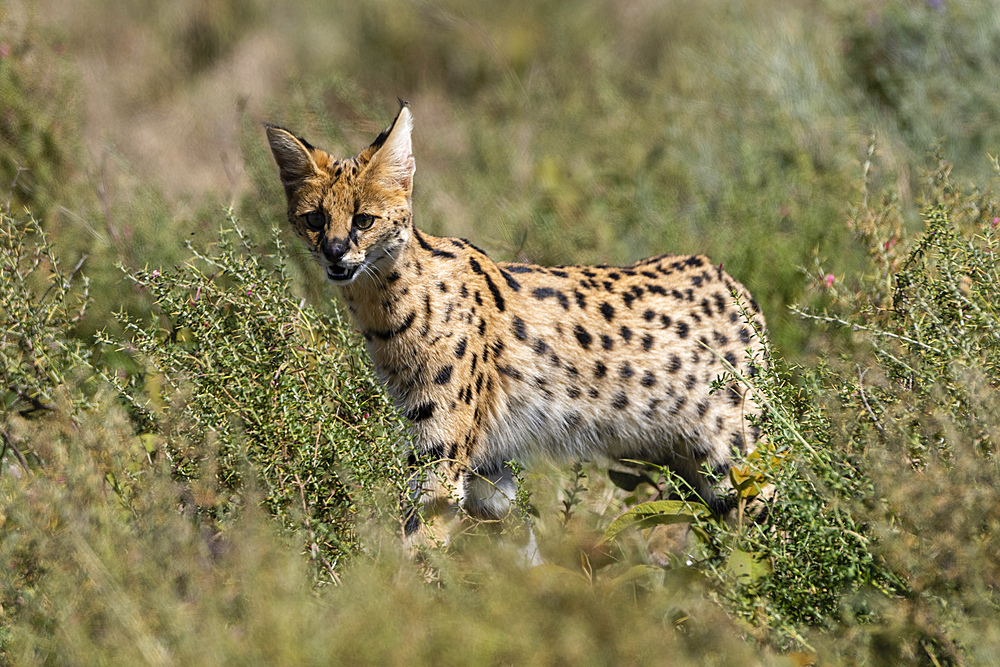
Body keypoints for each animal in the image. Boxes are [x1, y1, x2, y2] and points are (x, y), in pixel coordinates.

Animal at [266, 100, 764, 560]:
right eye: (315, 219)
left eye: (363, 220)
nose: (334, 253)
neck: (388, 306)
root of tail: (728, 279)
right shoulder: (488, 472)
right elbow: (518, 549)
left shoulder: (442, 457)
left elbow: (417, 547)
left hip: (733, 460)